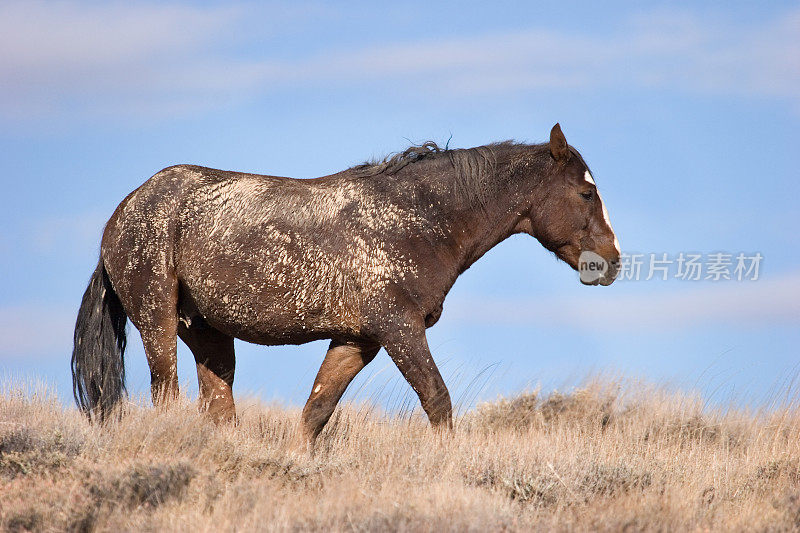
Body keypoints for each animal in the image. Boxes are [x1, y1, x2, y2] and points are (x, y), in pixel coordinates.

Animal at [72, 123, 620, 440]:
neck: (418, 219)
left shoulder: (358, 341)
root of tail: (123, 212)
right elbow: (437, 402)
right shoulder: (399, 330)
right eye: (585, 193)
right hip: (157, 324)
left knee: (219, 410)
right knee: (166, 397)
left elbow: (315, 413)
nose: (611, 262)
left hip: (208, 335)